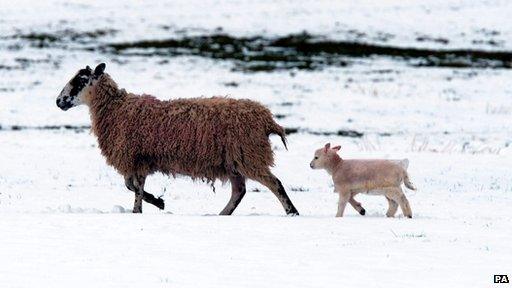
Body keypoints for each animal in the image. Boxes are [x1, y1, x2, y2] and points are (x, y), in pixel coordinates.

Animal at [55, 63, 300, 216]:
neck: (115, 108)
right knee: (239, 192)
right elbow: (132, 186)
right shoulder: (139, 159)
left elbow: (134, 188)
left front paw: (141, 209)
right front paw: (156, 202)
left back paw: (292, 213)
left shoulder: (136, 157)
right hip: (234, 161)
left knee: (275, 184)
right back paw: (221, 214)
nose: (59, 101)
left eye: (81, 79)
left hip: (249, 155)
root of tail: (266, 118)